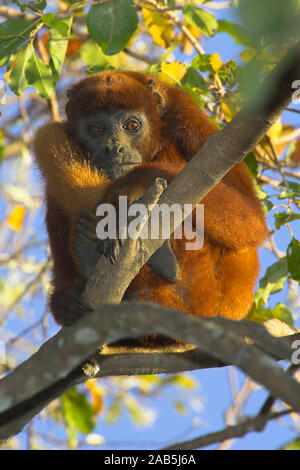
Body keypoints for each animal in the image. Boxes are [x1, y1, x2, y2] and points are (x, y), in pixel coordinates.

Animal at [32, 70, 268, 346]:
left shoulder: (188, 117)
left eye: (132, 125)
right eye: (95, 129)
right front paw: (64, 303)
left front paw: (130, 185)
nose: (114, 148)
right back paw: (89, 248)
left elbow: (251, 220)